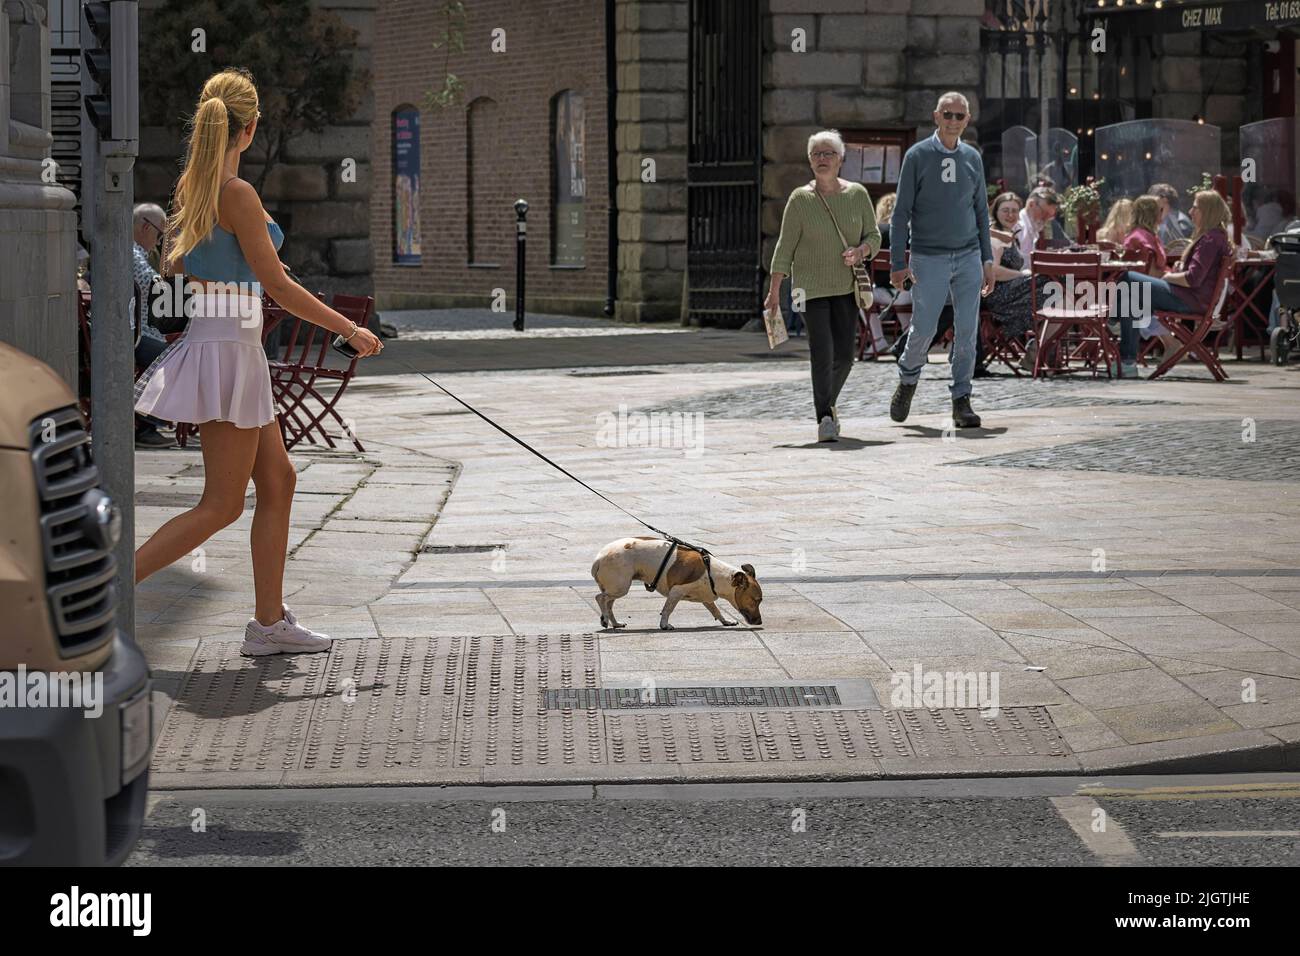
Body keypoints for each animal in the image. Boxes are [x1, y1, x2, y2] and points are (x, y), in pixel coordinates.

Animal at [592, 535, 759, 632]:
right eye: (756, 600)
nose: (760, 621)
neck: (712, 572)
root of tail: (598, 559)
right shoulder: (676, 592)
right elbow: (667, 609)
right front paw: (664, 625)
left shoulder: (706, 598)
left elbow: (716, 611)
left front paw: (726, 621)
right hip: (621, 587)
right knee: (600, 598)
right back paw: (605, 619)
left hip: (615, 588)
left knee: (608, 604)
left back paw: (615, 623)